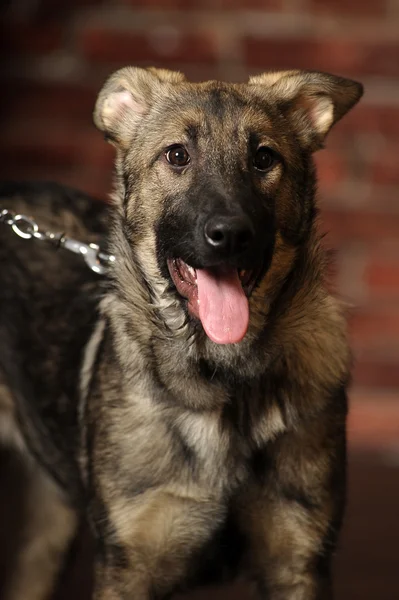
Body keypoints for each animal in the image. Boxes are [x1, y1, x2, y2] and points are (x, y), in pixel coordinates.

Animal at [0, 67, 362, 600]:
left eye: (264, 158)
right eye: (176, 155)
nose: (230, 235)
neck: (222, 383)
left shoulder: (298, 563)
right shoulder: (129, 567)